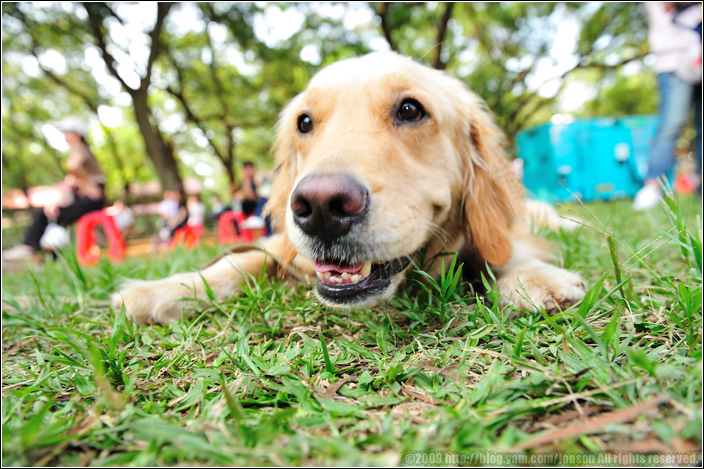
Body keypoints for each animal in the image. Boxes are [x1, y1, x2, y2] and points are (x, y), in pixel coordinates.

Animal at [115, 51, 584, 322]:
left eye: (410, 110)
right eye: (304, 122)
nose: (321, 207)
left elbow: (502, 250)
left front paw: (532, 275)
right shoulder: (281, 248)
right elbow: (244, 260)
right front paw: (168, 289)